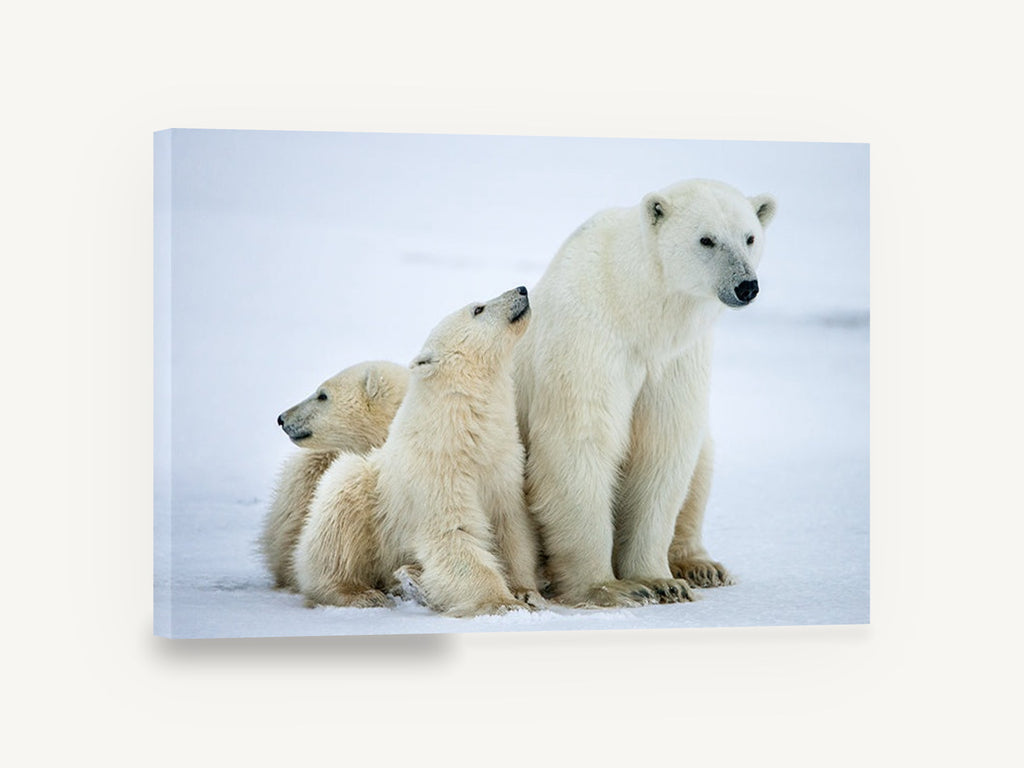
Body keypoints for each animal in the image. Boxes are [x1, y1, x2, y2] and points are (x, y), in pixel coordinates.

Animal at [293, 287, 543, 617]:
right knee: (336, 531)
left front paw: (527, 592)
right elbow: (452, 533)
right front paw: (503, 602)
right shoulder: (437, 472)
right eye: (478, 309)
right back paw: (361, 594)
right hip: (362, 495)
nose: (521, 289)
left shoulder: (502, 464)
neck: (462, 429)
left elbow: (510, 527)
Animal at [514, 178, 776, 607]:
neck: (636, 309)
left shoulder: (676, 359)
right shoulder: (590, 340)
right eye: (707, 239)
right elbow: (579, 444)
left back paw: (700, 565)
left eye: (750, 237)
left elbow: (663, 449)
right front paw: (611, 587)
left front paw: (661, 581)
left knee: (702, 461)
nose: (746, 286)